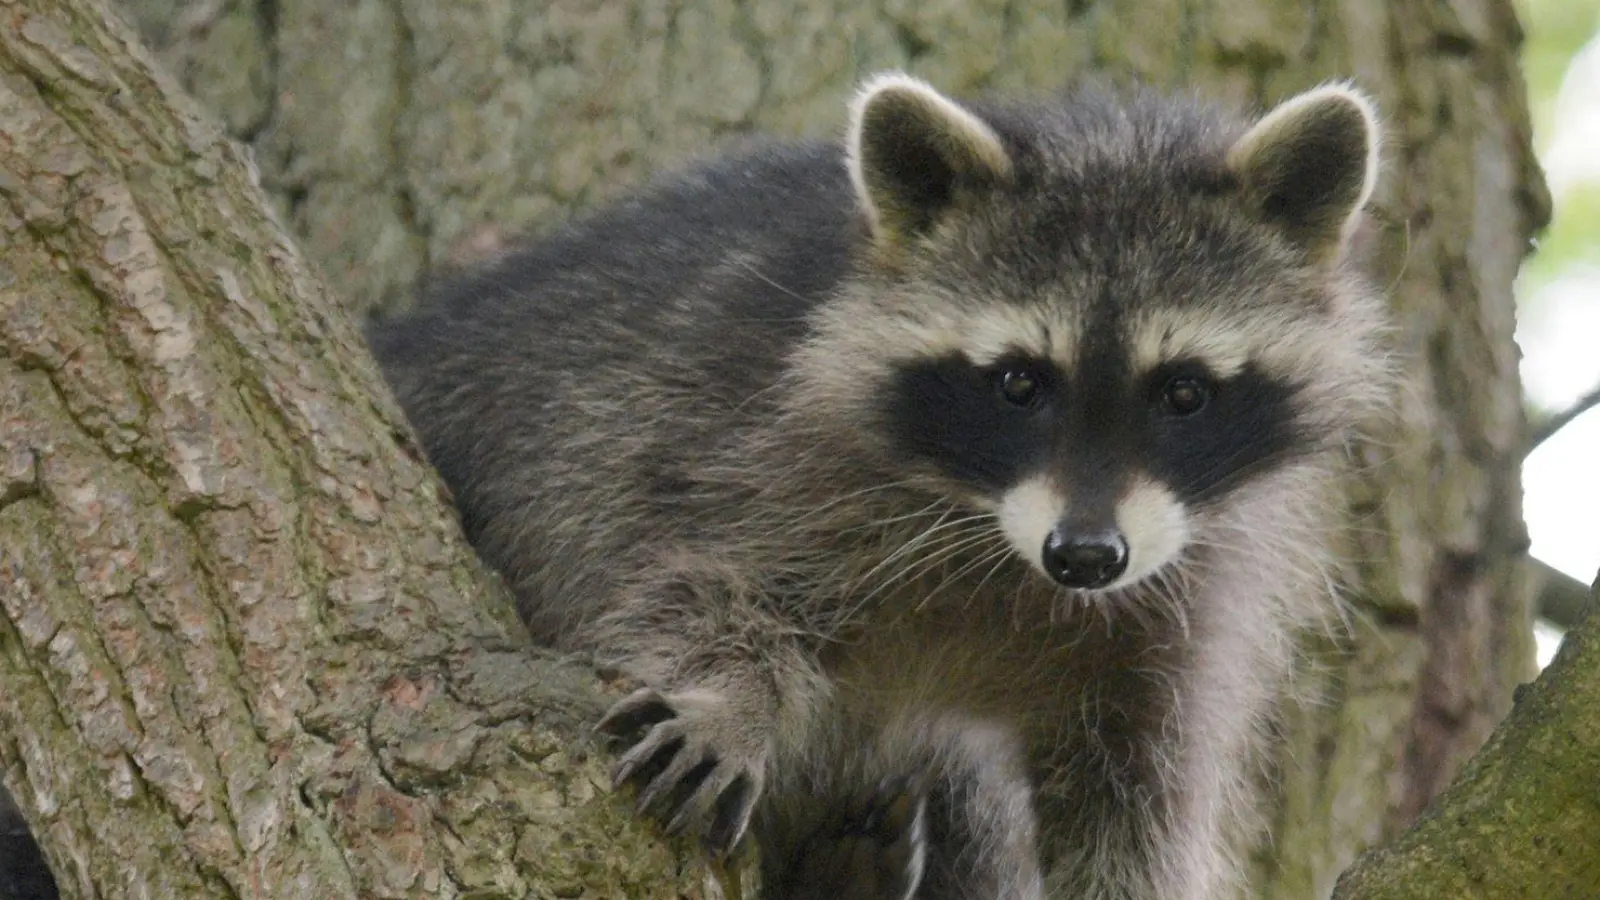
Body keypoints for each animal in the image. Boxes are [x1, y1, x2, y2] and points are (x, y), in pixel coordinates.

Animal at [366, 71, 1388, 896]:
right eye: (1019, 383)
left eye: (1183, 392)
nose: (1087, 557)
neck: (999, 542)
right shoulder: (738, 445)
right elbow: (693, 577)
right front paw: (729, 698)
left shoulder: (1180, 608)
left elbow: (1135, 802)